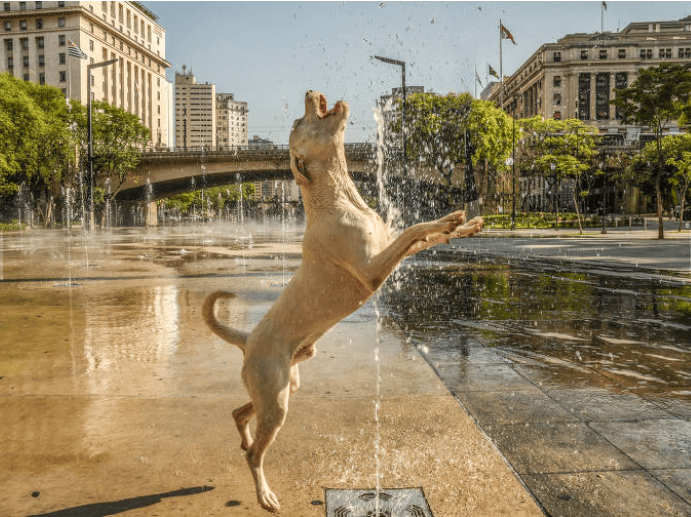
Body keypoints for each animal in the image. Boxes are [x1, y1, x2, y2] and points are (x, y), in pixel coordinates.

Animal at [203, 90, 482, 510]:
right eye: (298, 124)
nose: (309, 92)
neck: (337, 197)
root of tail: (247, 339)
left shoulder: (387, 247)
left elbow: (424, 238)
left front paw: (464, 225)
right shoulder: (373, 268)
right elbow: (414, 229)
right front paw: (446, 220)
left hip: (284, 388)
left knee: (238, 412)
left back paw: (244, 438)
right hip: (277, 401)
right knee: (255, 454)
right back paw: (264, 493)